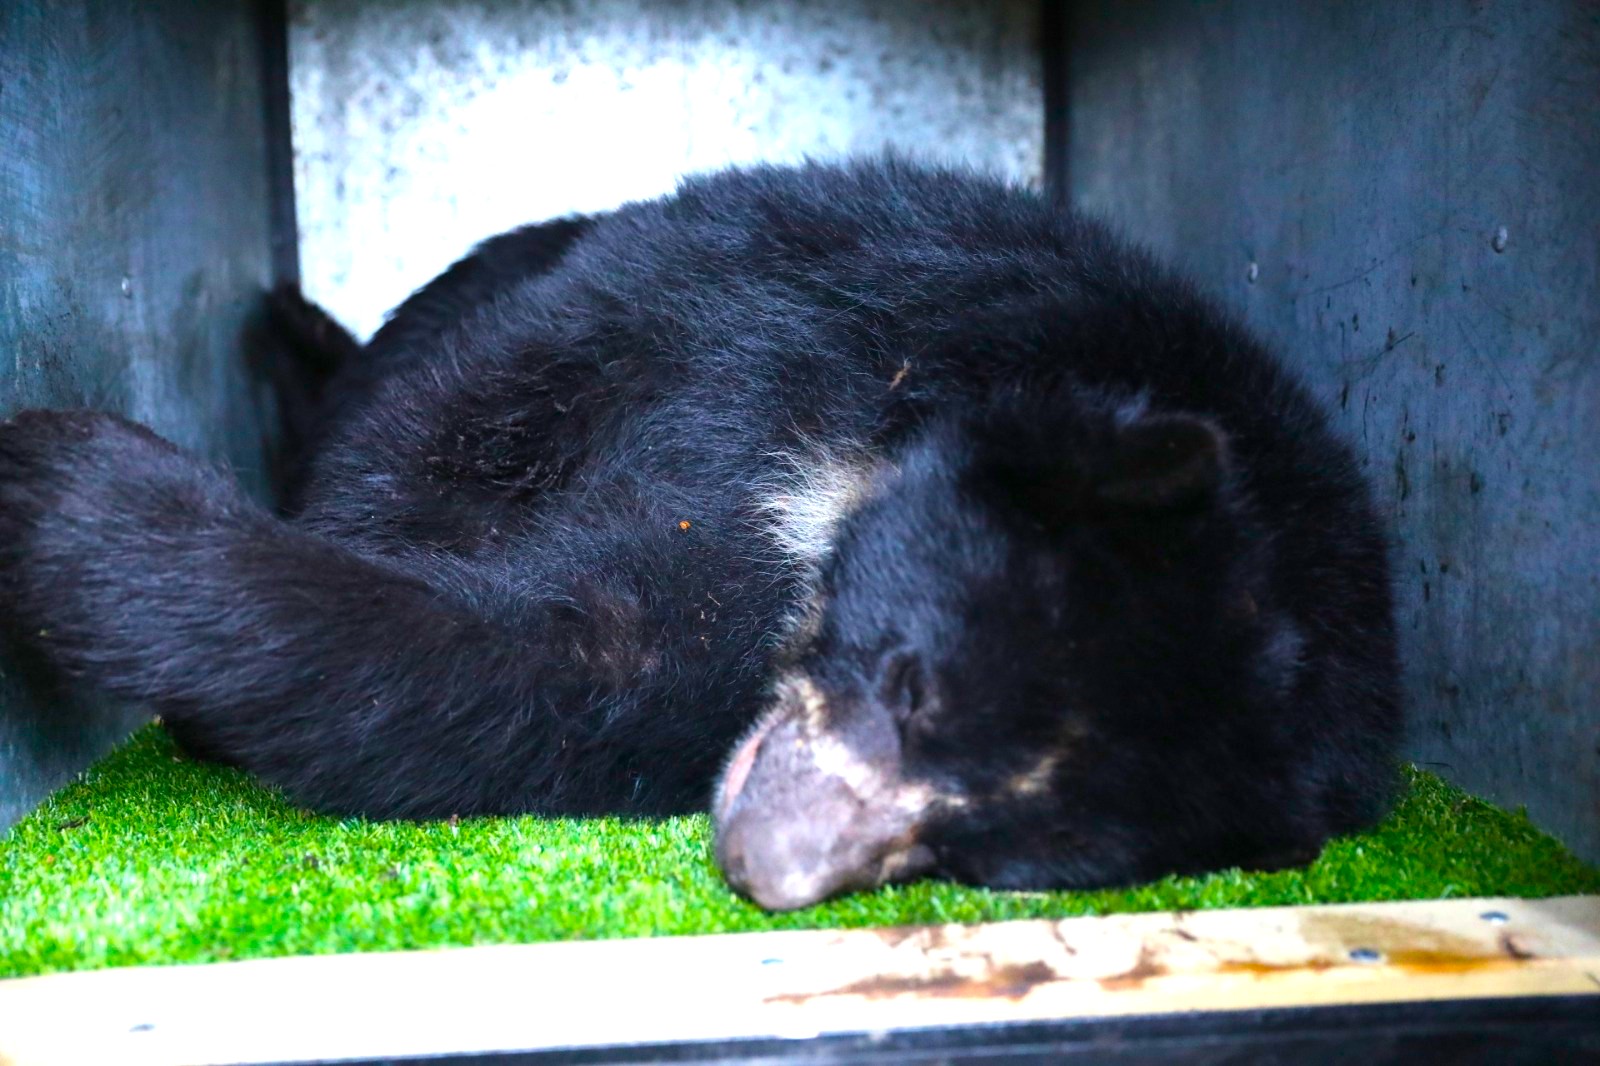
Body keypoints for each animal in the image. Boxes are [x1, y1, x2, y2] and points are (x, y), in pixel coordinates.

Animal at [0, 160, 1401, 910]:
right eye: (909, 677)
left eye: (982, 858)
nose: (759, 857)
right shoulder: (847, 280)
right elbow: (490, 401)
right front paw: (65, 475)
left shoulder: (716, 666)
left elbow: (566, 669)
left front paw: (86, 511)